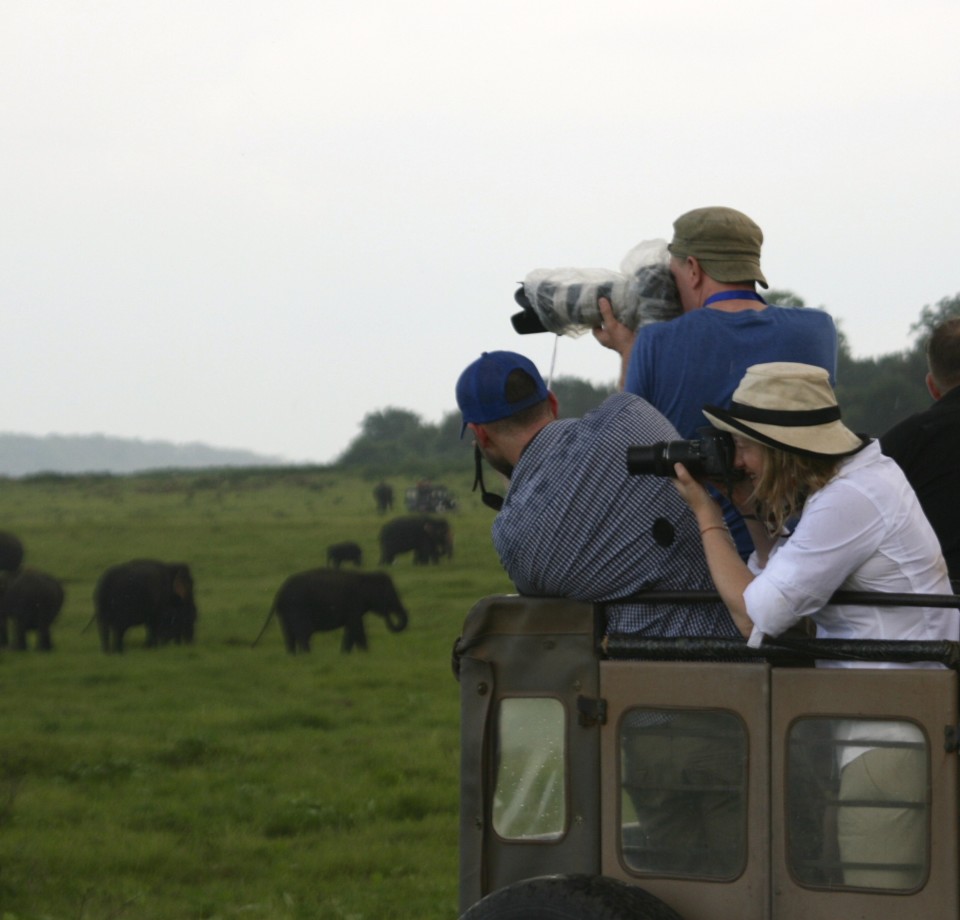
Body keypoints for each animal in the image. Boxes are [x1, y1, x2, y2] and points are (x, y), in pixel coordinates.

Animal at [253, 568, 406, 656]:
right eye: (389, 594)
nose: (388, 613)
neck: (366, 576)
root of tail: (278, 594)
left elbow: (353, 629)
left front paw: (346, 655)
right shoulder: (354, 604)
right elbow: (357, 627)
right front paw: (365, 654)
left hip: (285, 613)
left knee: (290, 636)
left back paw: (294, 656)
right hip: (297, 607)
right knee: (304, 633)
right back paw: (308, 656)